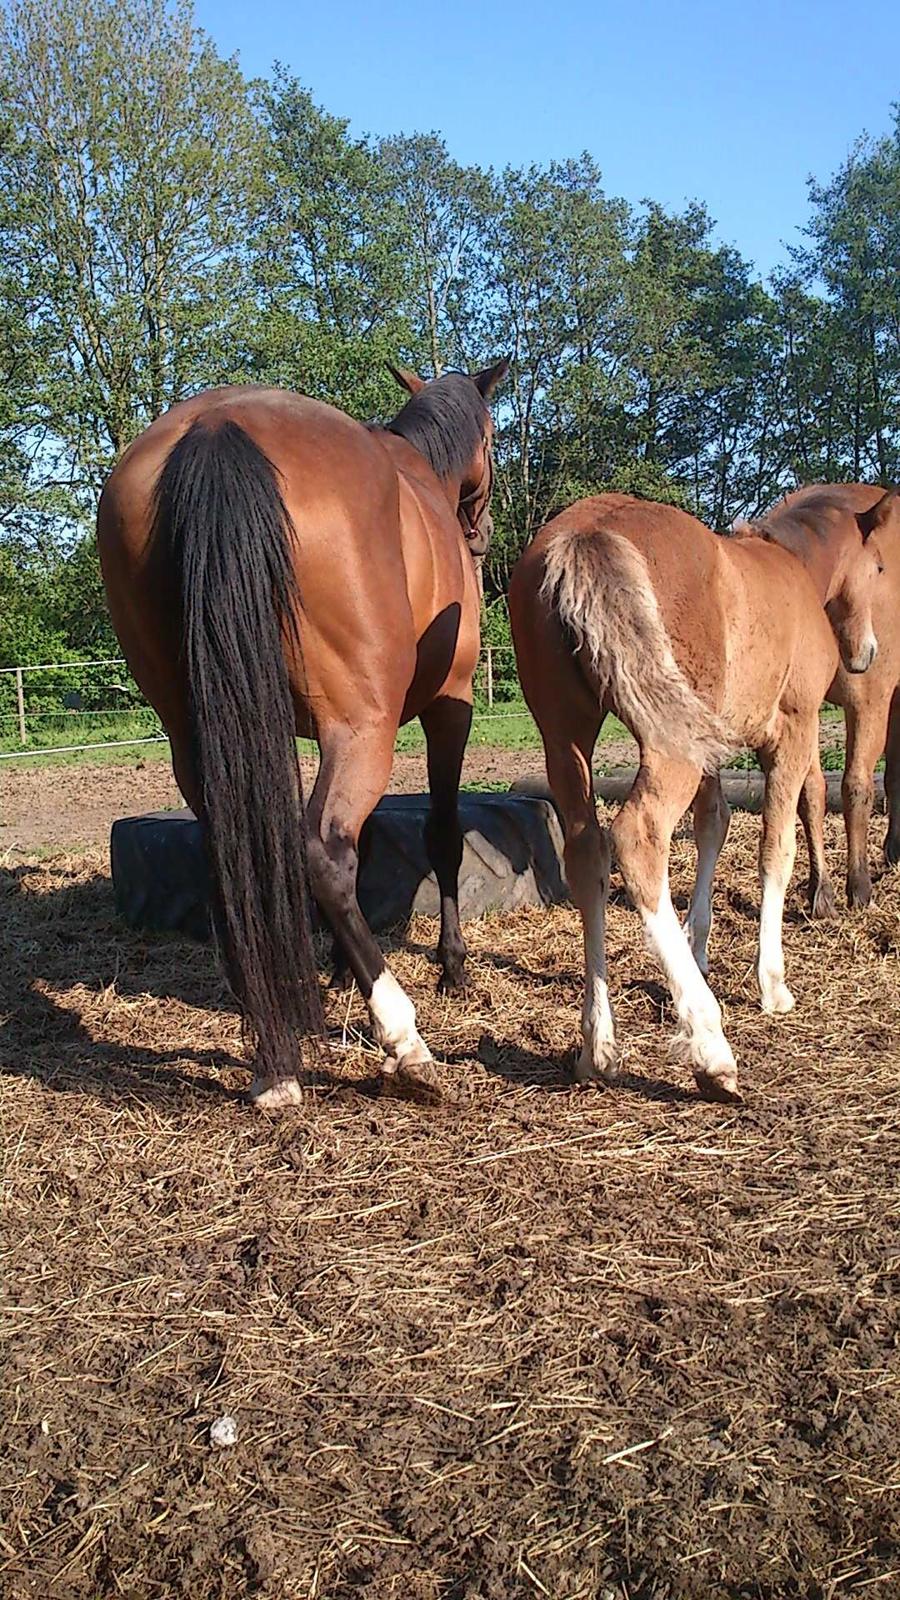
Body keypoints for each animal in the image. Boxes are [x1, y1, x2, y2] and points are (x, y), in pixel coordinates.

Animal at [99, 363, 506, 1113]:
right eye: (493, 437)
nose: (481, 530)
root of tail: (216, 426)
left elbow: (366, 840)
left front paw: (342, 971)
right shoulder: (449, 706)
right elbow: (438, 832)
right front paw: (451, 966)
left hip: (197, 736)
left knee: (239, 859)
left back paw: (275, 1057)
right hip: (364, 727)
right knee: (321, 853)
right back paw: (404, 1041)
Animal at [509, 489, 877, 1100]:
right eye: (880, 569)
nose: (867, 653)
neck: (792, 569)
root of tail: (588, 530)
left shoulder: (708, 743)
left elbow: (714, 825)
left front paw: (698, 946)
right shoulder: (793, 729)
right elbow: (775, 848)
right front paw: (772, 984)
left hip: (567, 734)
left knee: (587, 854)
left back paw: (598, 1049)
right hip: (661, 741)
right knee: (638, 838)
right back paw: (710, 1048)